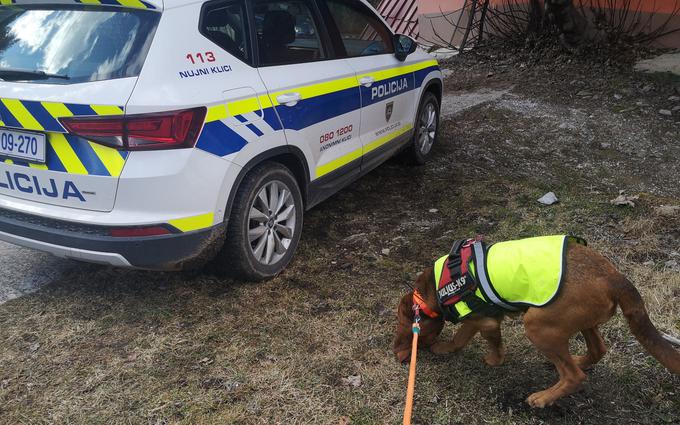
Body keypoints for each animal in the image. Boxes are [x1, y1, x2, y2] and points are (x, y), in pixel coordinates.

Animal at [394, 240, 680, 406]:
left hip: (537, 325)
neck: (435, 286)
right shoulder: (491, 322)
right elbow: (494, 341)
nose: (399, 356)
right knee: (598, 349)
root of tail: (615, 278)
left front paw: (446, 349)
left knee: (573, 376)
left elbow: (461, 337)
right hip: (581, 321)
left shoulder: (479, 319)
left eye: (406, 330)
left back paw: (543, 398)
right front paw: (496, 359)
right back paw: (580, 361)